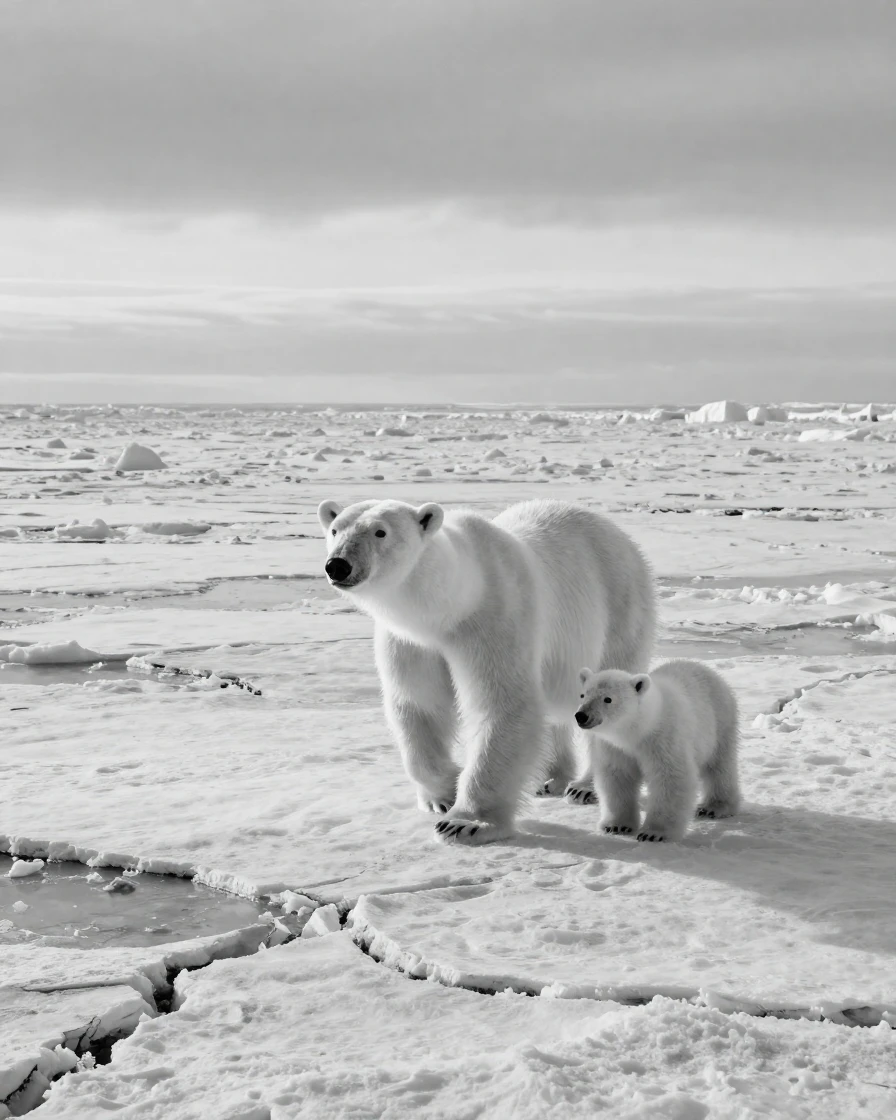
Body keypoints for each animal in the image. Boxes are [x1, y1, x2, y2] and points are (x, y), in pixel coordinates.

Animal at [317, 497, 655, 845]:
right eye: (335, 529)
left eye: (380, 531)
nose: (338, 565)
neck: (452, 604)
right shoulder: (412, 642)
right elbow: (419, 705)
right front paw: (443, 794)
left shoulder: (492, 620)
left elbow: (503, 704)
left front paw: (465, 822)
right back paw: (550, 778)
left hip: (620, 609)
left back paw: (585, 787)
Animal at [575, 660, 741, 843]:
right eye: (583, 695)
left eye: (608, 699)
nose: (581, 715)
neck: (640, 729)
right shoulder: (615, 748)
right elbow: (617, 778)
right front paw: (616, 826)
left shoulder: (663, 740)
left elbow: (670, 778)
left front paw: (653, 833)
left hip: (720, 722)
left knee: (719, 766)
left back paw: (714, 807)